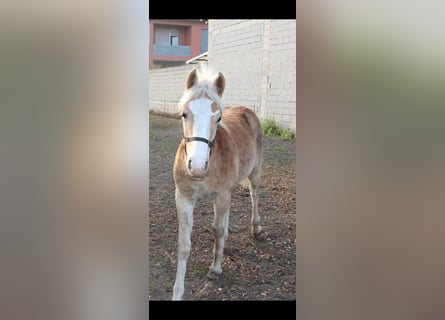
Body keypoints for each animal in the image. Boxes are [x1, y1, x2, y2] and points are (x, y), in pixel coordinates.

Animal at [171, 68, 262, 300]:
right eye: (184, 114)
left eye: (218, 117)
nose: (196, 166)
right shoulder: (184, 197)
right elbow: (184, 244)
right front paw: (177, 292)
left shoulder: (221, 195)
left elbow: (217, 230)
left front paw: (216, 268)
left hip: (255, 172)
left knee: (255, 195)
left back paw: (256, 228)